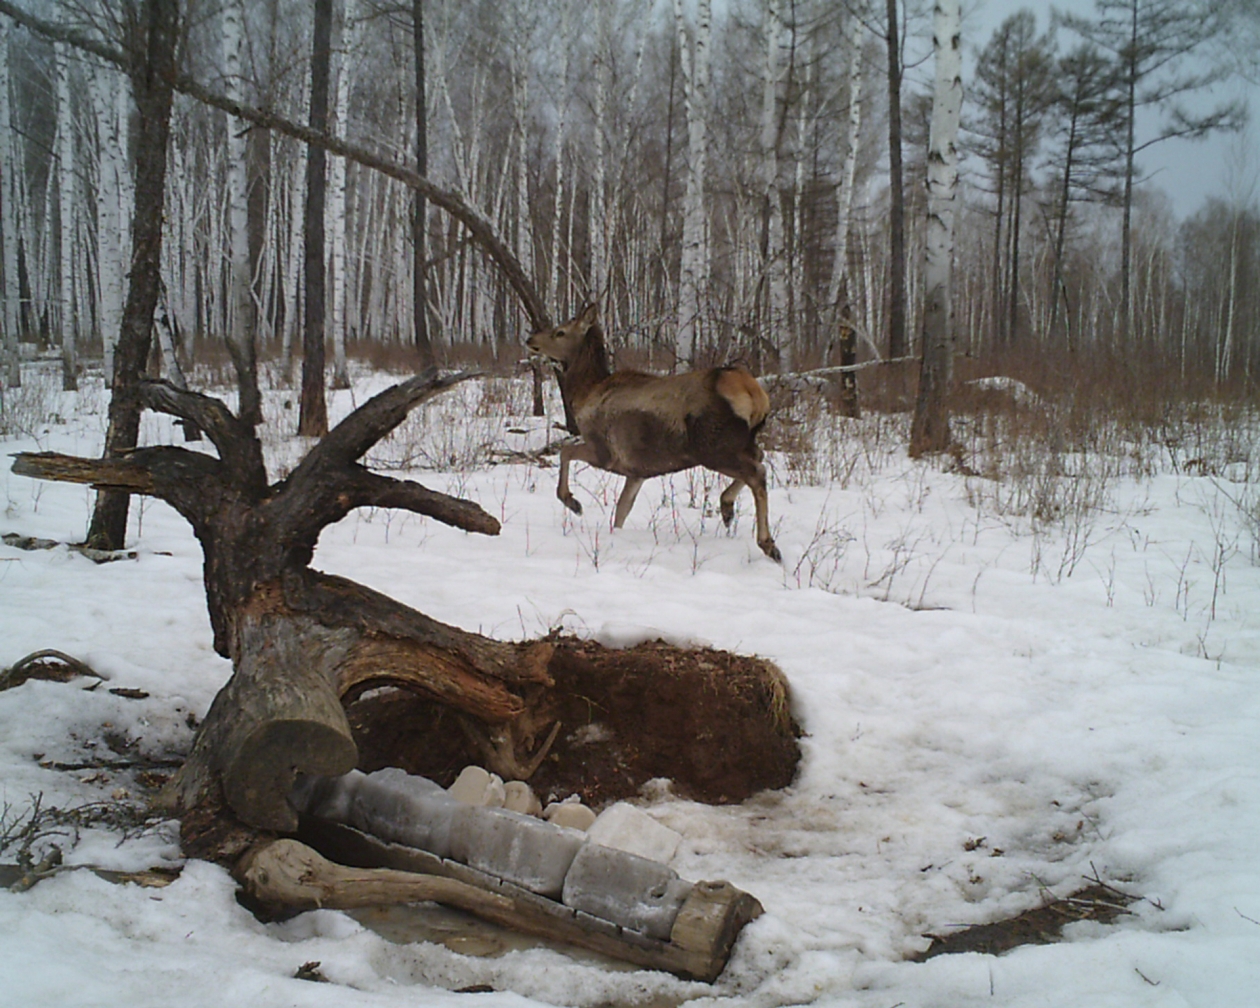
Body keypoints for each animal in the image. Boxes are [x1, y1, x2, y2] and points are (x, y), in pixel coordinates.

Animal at [521, 303, 776, 561]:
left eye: (560, 332)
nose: (530, 338)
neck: (584, 393)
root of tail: (753, 392)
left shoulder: (603, 451)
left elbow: (565, 451)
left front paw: (573, 502)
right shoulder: (637, 471)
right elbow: (621, 510)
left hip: (713, 446)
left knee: (757, 472)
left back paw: (767, 543)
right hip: (739, 442)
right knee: (760, 459)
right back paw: (727, 508)